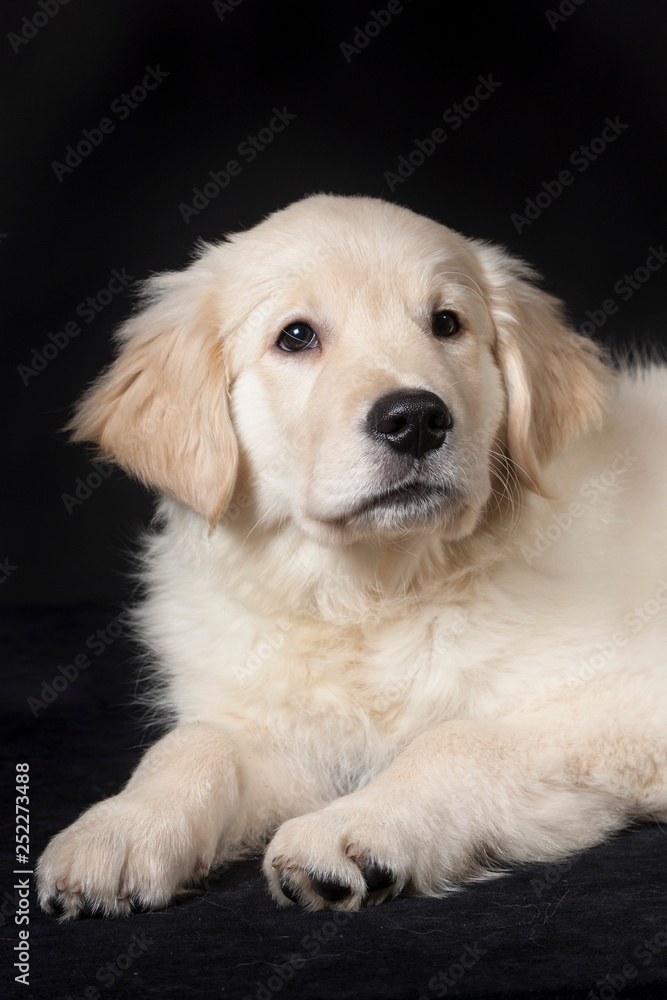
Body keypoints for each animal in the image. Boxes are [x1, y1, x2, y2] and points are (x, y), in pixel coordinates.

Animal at [37, 191, 667, 916]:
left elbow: (459, 738)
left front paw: (356, 824)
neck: (374, 592)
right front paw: (120, 826)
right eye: (296, 336)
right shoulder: (277, 736)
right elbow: (198, 743)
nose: (414, 419)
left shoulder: (618, 707)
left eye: (446, 323)